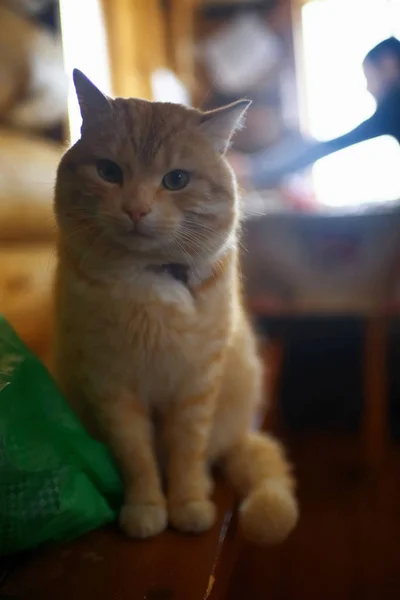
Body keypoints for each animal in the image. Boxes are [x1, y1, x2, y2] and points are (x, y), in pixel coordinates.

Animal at [52, 70, 296, 544]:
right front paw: (147, 508)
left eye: (176, 179)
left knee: (213, 455)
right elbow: (137, 458)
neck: (148, 278)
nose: (136, 209)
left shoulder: (195, 387)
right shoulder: (112, 386)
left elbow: (186, 453)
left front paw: (187, 504)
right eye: (109, 172)